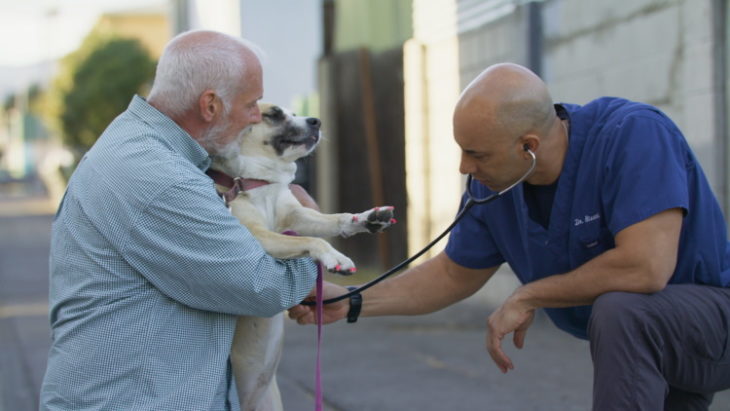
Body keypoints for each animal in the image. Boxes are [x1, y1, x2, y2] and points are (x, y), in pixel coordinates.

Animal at [208, 104, 396, 411]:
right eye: (273, 114)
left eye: (295, 113)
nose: (316, 120)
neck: (258, 184)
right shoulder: (258, 238)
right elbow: (313, 240)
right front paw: (335, 257)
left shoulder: (298, 215)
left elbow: (335, 220)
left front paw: (367, 219)